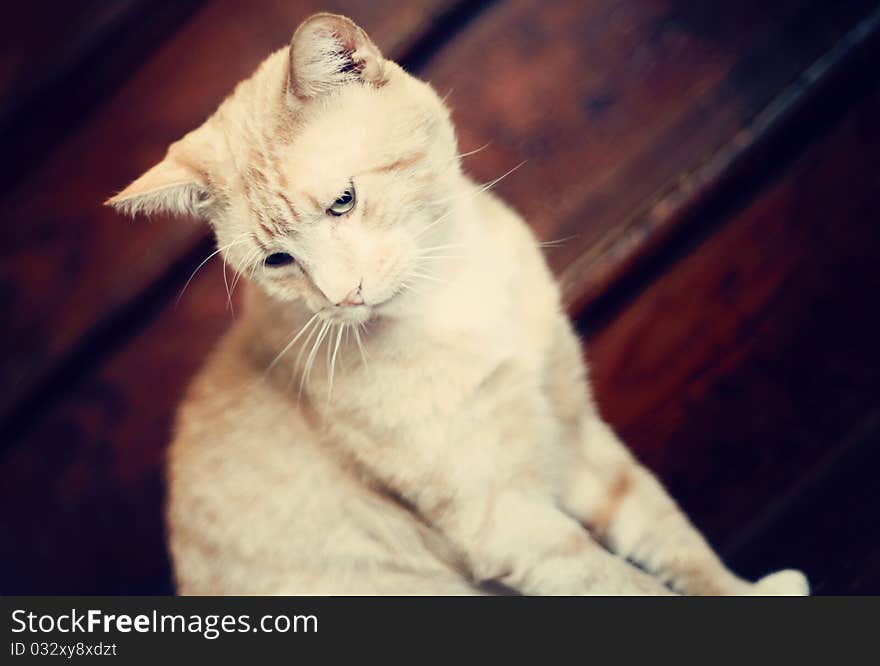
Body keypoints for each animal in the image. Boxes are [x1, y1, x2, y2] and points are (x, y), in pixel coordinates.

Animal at [106, 11, 808, 592]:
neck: (452, 293)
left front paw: (741, 593)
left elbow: (665, 531)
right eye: (277, 262)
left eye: (342, 202)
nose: (341, 296)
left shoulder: (572, 432)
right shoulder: (505, 520)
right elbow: (621, 584)